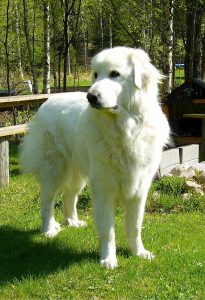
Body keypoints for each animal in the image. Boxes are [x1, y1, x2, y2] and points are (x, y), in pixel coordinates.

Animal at [20, 47, 170, 270]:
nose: (91, 96)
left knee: (69, 196)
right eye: (95, 75)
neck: (125, 130)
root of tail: (47, 101)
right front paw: (108, 260)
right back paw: (48, 230)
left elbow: (135, 226)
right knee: (47, 201)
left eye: (115, 74)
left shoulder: (139, 189)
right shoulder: (104, 189)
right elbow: (108, 230)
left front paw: (138, 252)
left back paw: (72, 222)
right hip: (54, 171)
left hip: (78, 175)